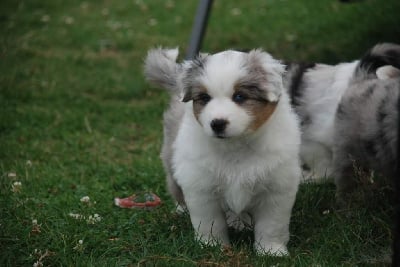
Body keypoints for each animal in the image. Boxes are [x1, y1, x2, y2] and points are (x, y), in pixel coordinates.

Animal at [144, 47, 300, 255]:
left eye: (240, 97)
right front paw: (212, 246)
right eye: (204, 98)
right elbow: (210, 223)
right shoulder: (201, 188)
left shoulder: (276, 189)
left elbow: (271, 225)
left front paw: (272, 251)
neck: (235, 147)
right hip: (172, 162)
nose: (217, 123)